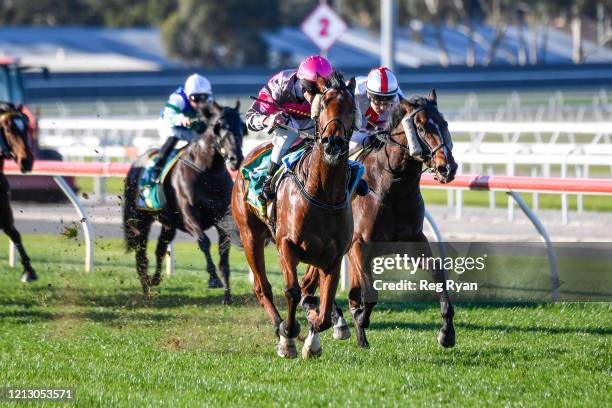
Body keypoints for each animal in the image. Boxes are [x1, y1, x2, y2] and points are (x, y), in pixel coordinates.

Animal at [123, 100, 245, 302]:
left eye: (242, 127)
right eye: (219, 128)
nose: (236, 159)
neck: (208, 172)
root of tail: (136, 164)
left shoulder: (222, 219)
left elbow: (224, 253)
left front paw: (227, 295)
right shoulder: (189, 217)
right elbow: (204, 242)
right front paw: (214, 279)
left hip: (168, 224)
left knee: (160, 248)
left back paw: (154, 280)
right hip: (139, 220)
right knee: (141, 254)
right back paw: (146, 289)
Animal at [233, 71, 358, 358]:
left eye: (351, 107)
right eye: (323, 106)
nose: (333, 143)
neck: (323, 195)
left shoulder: (334, 257)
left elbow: (322, 306)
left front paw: (314, 338)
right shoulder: (286, 245)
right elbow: (291, 290)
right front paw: (288, 337)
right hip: (249, 235)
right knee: (262, 287)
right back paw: (279, 327)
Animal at [302, 91, 460, 350]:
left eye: (444, 124)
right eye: (420, 127)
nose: (447, 167)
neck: (392, 188)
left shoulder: (413, 240)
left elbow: (438, 274)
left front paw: (447, 332)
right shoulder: (358, 245)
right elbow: (369, 293)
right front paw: (360, 318)